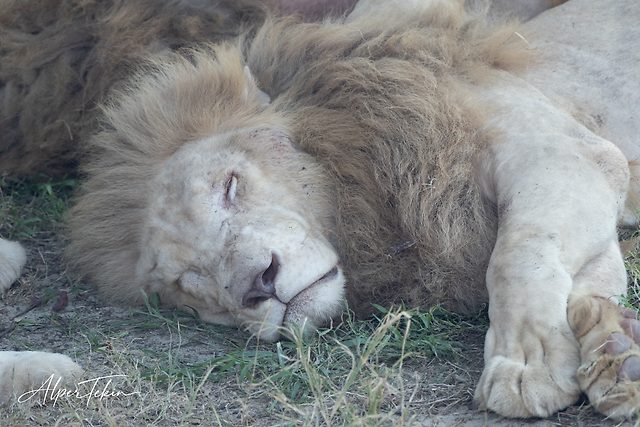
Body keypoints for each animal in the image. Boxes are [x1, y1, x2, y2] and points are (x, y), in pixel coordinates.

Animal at [1, 0, 639, 420]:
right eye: (185, 285)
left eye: (229, 186)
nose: (258, 285)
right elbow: (583, 277)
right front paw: (613, 352)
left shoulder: (564, 153)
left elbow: (516, 258)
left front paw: (525, 368)